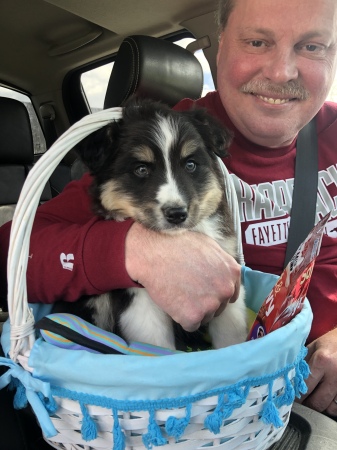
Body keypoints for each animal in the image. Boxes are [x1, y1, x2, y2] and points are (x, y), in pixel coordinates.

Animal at [53, 98, 245, 350]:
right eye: (141, 169)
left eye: (190, 165)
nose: (177, 214)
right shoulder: (139, 300)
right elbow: (157, 346)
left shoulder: (228, 279)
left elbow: (230, 336)